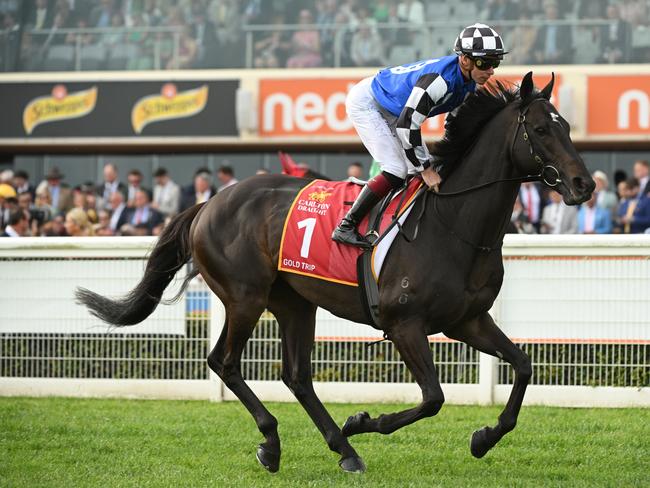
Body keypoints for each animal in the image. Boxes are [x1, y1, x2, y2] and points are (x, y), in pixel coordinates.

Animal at [76, 72, 592, 472]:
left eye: (567, 127)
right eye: (541, 129)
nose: (583, 184)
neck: (453, 223)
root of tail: (210, 202)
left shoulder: (467, 320)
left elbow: (522, 366)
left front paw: (484, 437)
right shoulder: (405, 324)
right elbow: (432, 398)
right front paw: (362, 421)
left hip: (294, 302)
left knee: (297, 376)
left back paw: (343, 451)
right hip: (245, 297)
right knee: (224, 361)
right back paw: (274, 442)